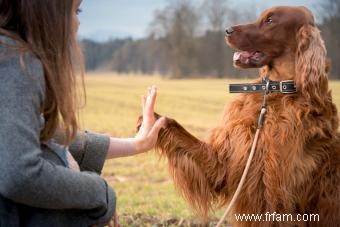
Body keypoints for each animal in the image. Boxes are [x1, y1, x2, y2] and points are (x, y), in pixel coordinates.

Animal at [139, 5, 338, 227]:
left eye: (270, 21)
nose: (227, 30)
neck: (274, 93)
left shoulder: (277, 196)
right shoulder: (225, 163)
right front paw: (151, 120)